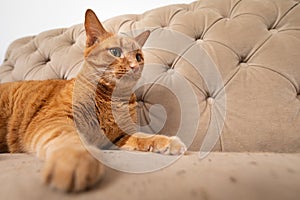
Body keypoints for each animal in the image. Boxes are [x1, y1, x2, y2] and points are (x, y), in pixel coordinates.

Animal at [0, 9, 185, 192]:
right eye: (116, 52)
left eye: (138, 57)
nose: (135, 66)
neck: (111, 99)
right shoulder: (54, 119)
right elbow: (70, 138)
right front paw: (75, 159)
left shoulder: (120, 137)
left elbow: (144, 137)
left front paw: (168, 142)